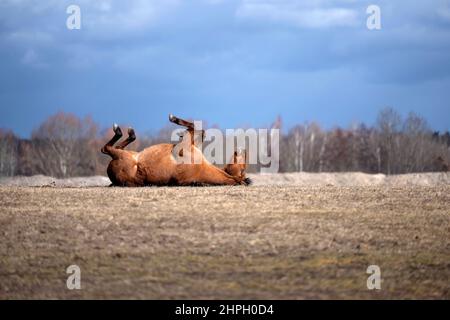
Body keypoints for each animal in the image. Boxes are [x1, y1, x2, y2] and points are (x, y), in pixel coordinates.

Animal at [100, 114, 251, 186]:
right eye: (243, 168)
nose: (244, 150)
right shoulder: (193, 144)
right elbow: (200, 130)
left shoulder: (184, 147)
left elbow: (196, 127)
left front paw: (173, 118)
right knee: (115, 146)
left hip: (122, 156)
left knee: (106, 148)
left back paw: (122, 131)